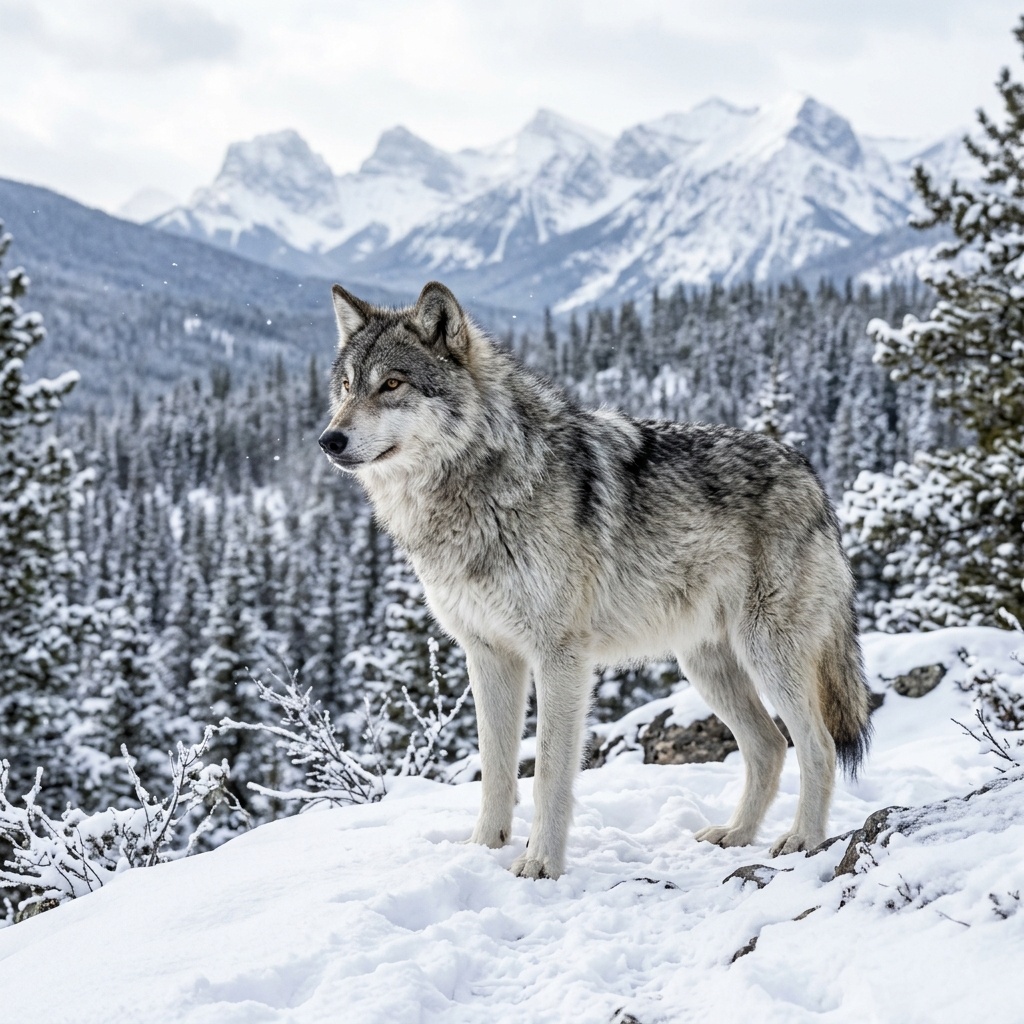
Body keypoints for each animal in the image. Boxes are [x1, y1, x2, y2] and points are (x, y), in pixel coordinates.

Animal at [318, 281, 871, 880]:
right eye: (347, 386)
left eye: (391, 384)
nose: (329, 440)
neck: (477, 491)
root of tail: (812, 477)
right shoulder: (488, 654)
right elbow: (496, 770)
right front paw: (484, 850)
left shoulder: (561, 657)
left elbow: (549, 772)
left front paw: (540, 864)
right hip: (705, 663)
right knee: (769, 745)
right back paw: (736, 834)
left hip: (766, 652)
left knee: (815, 744)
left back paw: (803, 840)